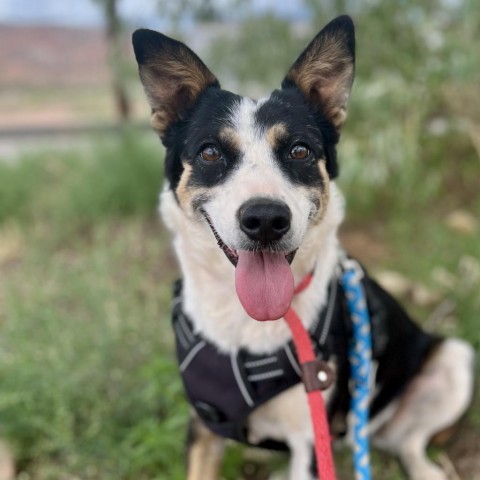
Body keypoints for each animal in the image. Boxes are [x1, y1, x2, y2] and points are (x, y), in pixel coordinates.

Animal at [133, 15, 474, 480]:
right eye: (210, 153)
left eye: (299, 150)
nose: (264, 220)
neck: (249, 323)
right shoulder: (202, 428)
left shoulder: (312, 438)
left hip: (453, 360)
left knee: (409, 443)